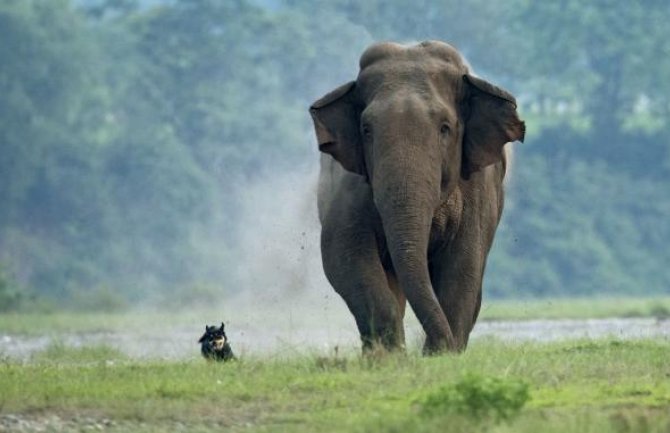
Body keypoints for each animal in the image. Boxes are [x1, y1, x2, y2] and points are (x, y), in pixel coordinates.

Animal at [310, 40, 524, 352]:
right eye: (366, 129)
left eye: (445, 128)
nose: (441, 344)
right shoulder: (349, 182)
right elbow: (342, 252)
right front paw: (390, 355)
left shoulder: (479, 184)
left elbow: (465, 262)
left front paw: (441, 355)